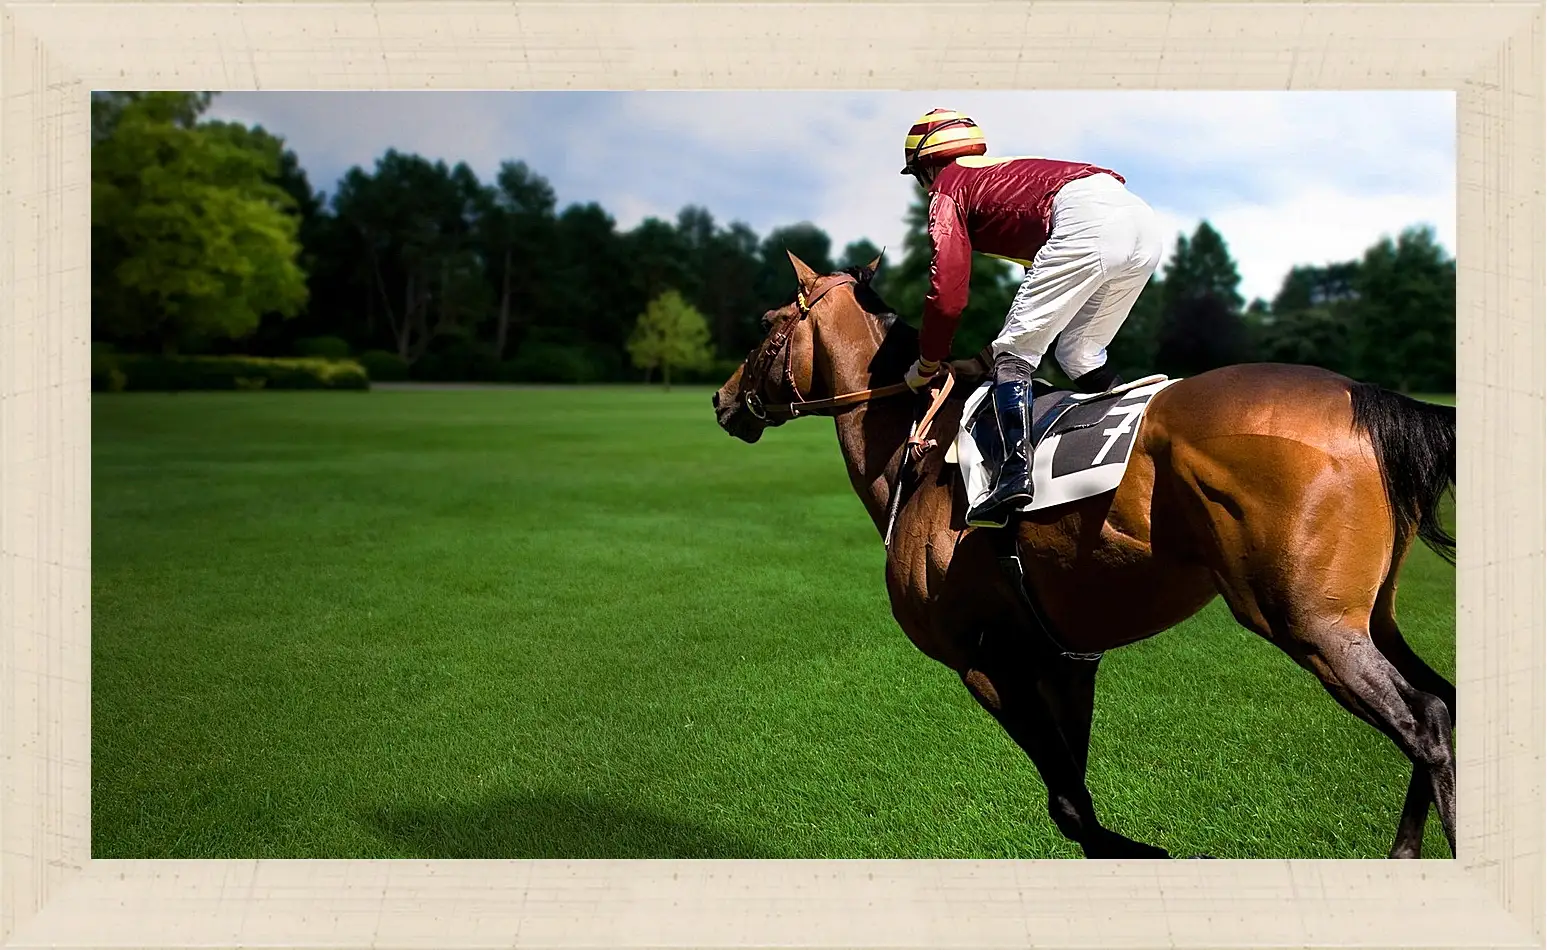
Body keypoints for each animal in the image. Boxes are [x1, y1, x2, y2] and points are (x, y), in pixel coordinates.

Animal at [708, 250, 1454, 866]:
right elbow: (1077, 801)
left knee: (1423, 721)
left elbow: (1070, 808)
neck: (916, 452)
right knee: (1442, 701)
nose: (720, 400)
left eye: (768, 325)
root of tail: (1364, 396)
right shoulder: (1065, 658)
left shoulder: (985, 660)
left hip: (1310, 623)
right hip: (1368, 617)